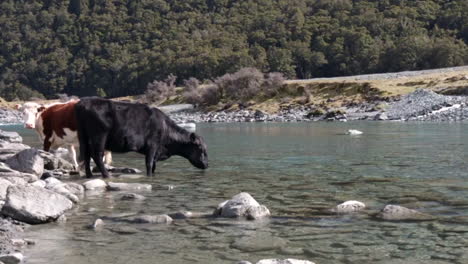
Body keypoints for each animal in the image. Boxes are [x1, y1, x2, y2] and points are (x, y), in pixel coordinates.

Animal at [75, 97, 208, 177]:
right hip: (99, 135)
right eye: (201, 148)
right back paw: (106, 175)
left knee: (86, 154)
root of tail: (83, 102)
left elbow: (153, 165)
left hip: (83, 136)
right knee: (97, 155)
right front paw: (149, 176)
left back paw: (89, 175)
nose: (207, 165)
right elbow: (149, 164)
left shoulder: (156, 151)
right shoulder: (152, 145)